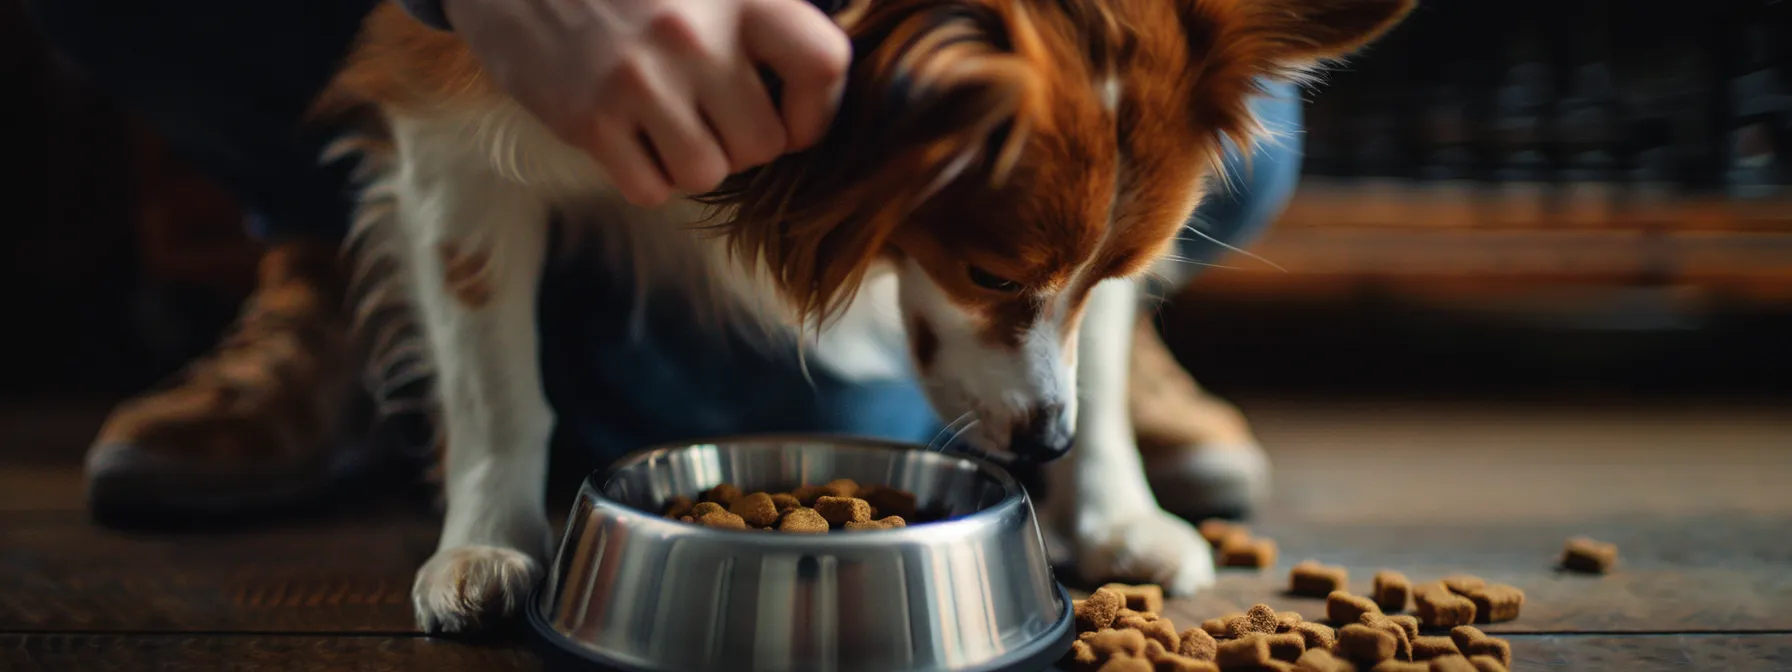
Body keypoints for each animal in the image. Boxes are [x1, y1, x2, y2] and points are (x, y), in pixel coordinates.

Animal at [318, 0, 1412, 637]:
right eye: (988, 273)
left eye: (1116, 270)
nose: (1045, 446)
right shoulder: (446, 135)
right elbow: (496, 389)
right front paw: (483, 545)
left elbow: (1098, 361)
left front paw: (1114, 516)